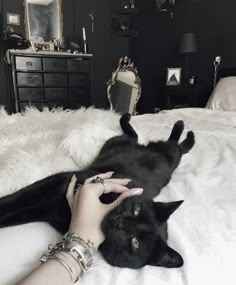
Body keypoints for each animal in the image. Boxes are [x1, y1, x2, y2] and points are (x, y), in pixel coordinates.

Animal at [0, 112, 195, 268]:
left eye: (135, 242)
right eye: (137, 209)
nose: (120, 221)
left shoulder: (47, 206)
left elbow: (19, 210)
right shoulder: (56, 184)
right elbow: (17, 199)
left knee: (172, 146)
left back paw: (184, 131)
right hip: (123, 144)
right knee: (151, 140)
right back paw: (178, 126)